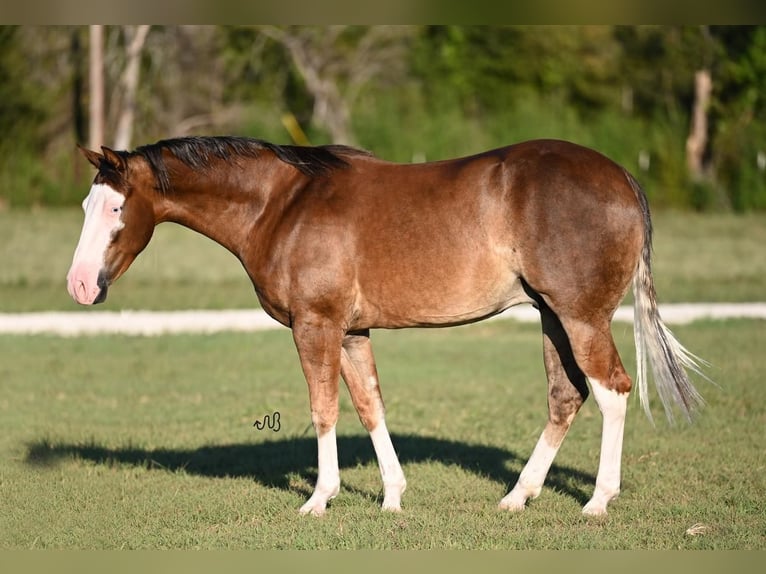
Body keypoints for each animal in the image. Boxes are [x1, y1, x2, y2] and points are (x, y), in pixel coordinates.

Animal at [67, 136, 708, 516]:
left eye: (117, 208)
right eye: (86, 207)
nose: (79, 285)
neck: (282, 203)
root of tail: (621, 176)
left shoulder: (316, 327)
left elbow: (324, 408)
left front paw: (319, 499)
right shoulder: (351, 333)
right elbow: (370, 405)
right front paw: (393, 496)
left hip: (580, 317)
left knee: (612, 391)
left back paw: (598, 501)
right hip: (552, 317)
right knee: (566, 396)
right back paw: (517, 497)